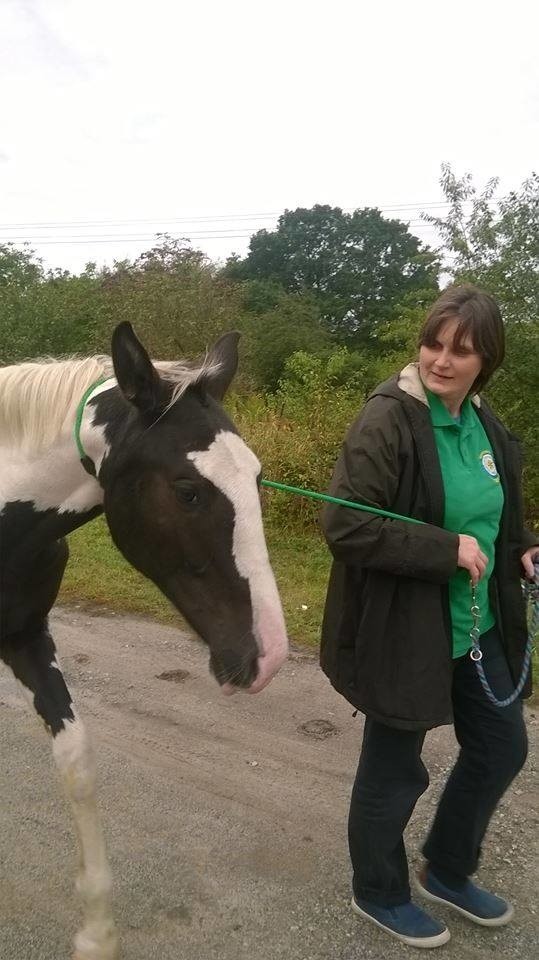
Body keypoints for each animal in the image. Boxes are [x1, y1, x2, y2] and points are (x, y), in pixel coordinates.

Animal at [0, 324, 288, 960]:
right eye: (187, 491)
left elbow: (77, 763)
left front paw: (97, 934)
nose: (269, 655)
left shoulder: (27, 639)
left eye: (257, 478)